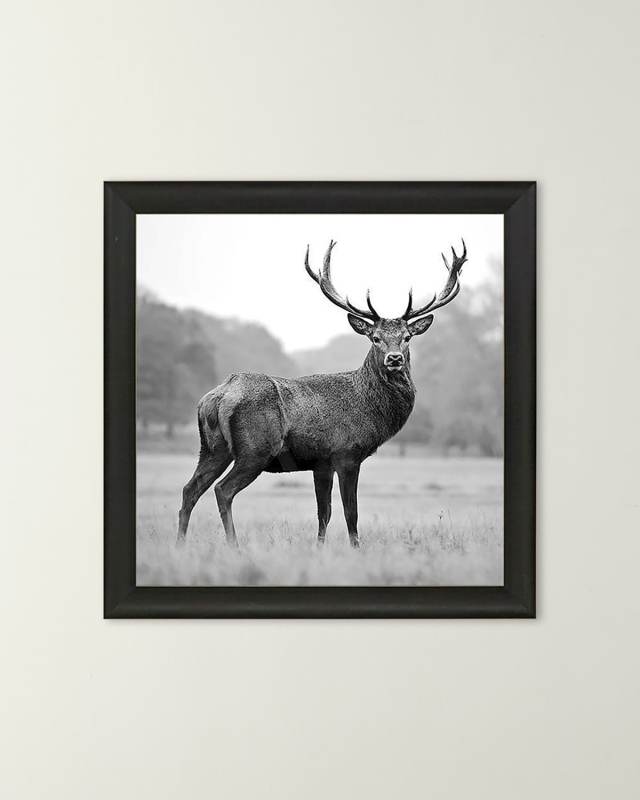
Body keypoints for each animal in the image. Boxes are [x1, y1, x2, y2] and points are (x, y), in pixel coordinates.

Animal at [177, 239, 467, 548]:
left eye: (407, 337)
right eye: (375, 337)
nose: (394, 358)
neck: (370, 409)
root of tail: (218, 396)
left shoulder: (321, 463)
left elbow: (323, 513)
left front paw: (319, 548)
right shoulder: (347, 453)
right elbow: (351, 512)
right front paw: (356, 548)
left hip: (212, 448)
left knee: (190, 489)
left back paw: (180, 544)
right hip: (255, 449)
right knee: (223, 490)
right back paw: (234, 546)